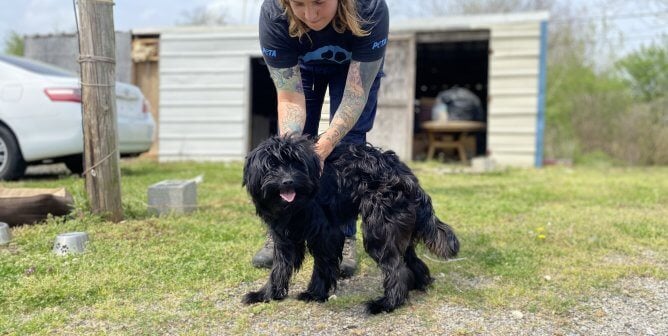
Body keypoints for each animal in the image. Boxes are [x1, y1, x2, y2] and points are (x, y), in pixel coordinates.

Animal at [241, 135, 460, 316]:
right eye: (271, 165)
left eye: (296, 164)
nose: (288, 181)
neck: (295, 205)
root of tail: (406, 175)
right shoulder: (284, 236)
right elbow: (279, 267)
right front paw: (266, 295)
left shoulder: (326, 234)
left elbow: (322, 265)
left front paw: (315, 294)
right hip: (398, 229)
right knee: (409, 259)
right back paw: (418, 285)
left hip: (379, 230)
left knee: (396, 268)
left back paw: (387, 304)